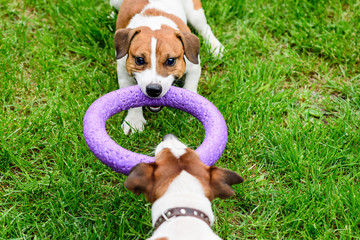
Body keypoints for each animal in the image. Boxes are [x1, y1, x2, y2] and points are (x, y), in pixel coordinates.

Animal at [109, 0, 224, 134]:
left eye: (170, 61)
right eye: (139, 60)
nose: (153, 90)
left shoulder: (194, 67)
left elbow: (190, 87)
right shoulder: (123, 73)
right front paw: (134, 121)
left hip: (195, 12)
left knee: (204, 27)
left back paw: (215, 47)